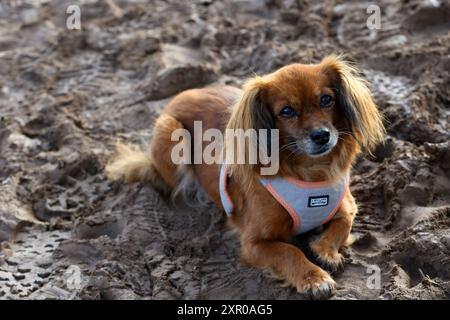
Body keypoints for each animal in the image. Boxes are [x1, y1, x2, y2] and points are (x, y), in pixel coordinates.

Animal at [105, 55, 384, 300]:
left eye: (327, 99)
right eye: (286, 111)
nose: (322, 135)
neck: (311, 174)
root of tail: (183, 93)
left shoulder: (347, 204)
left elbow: (343, 225)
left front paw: (326, 252)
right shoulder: (254, 244)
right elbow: (289, 251)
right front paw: (314, 278)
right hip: (173, 135)